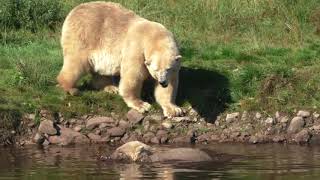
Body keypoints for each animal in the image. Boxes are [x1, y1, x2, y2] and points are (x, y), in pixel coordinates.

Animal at [56, 1, 184, 117]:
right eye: (155, 69)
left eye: (168, 69)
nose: (162, 82)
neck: (154, 36)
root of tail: (74, 10)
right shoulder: (136, 48)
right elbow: (133, 76)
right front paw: (141, 105)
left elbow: (169, 87)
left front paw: (173, 109)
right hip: (83, 36)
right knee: (76, 63)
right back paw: (70, 88)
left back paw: (111, 87)